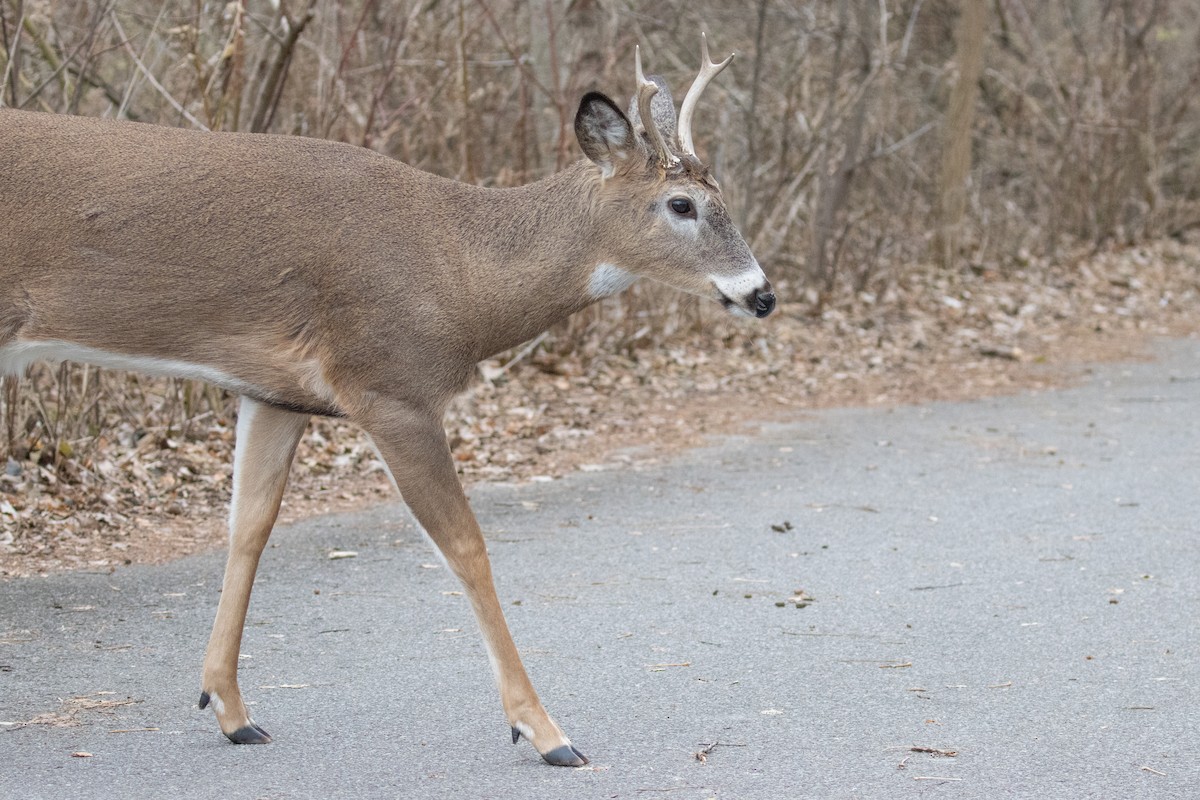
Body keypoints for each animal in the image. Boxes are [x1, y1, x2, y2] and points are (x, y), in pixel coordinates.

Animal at [0, 35, 773, 766]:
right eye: (682, 205)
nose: (761, 293)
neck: (459, 273)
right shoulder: (391, 385)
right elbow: (467, 547)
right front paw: (546, 731)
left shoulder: (275, 391)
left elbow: (249, 526)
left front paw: (231, 710)